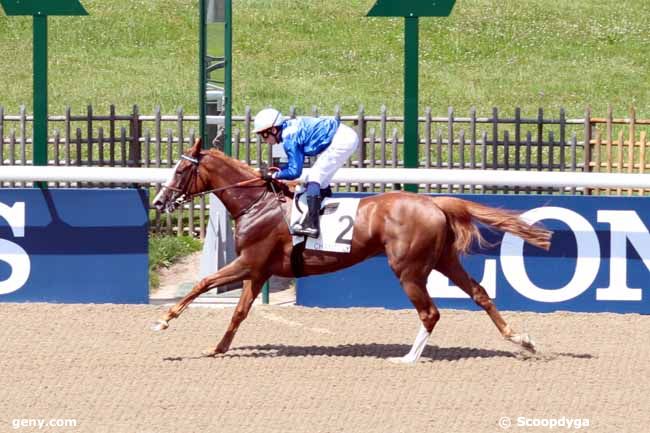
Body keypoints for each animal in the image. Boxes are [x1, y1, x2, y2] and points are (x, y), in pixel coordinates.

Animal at [152, 138, 552, 362]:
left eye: (180, 171)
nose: (158, 201)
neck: (257, 203)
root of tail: (434, 202)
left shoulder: (249, 261)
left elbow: (202, 283)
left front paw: (162, 320)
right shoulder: (260, 269)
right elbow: (238, 312)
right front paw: (217, 348)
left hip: (409, 270)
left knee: (430, 313)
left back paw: (408, 358)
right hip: (443, 259)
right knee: (480, 294)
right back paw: (521, 339)